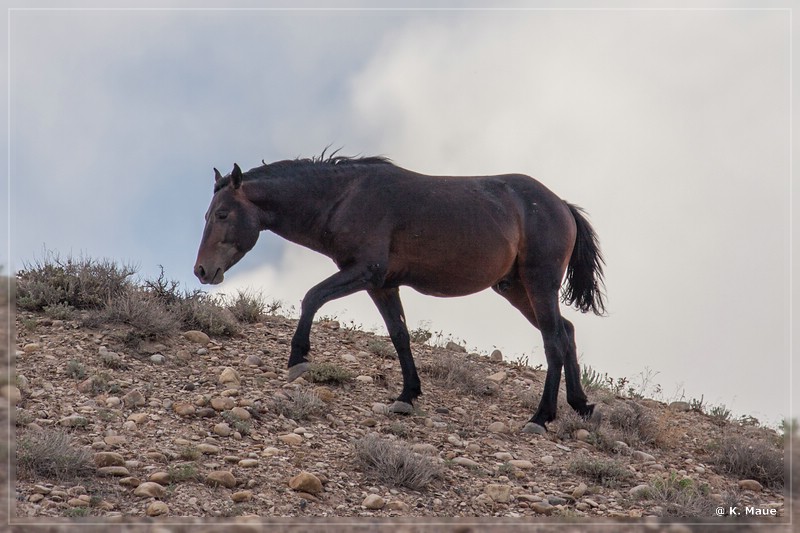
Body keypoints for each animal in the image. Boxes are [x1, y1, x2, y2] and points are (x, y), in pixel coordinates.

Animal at [195, 151, 608, 432]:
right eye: (209, 214)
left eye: (222, 214)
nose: (202, 271)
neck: (344, 198)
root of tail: (561, 206)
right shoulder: (382, 285)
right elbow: (399, 335)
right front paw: (407, 394)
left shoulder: (364, 272)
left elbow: (312, 297)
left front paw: (298, 359)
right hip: (516, 289)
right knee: (566, 332)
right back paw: (580, 404)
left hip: (539, 284)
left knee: (553, 340)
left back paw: (541, 416)